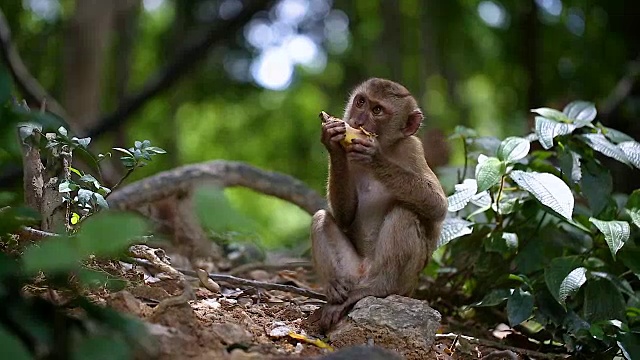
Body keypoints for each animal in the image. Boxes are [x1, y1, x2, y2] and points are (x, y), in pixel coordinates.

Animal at [308, 78, 444, 332]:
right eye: (361, 102)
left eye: (377, 110)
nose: (358, 121)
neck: (389, 147)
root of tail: (365, 274)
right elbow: (344, 216)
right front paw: (332, 143)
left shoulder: (413, 149)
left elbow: (438, 205)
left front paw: (374, 156)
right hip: (352, 272)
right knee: (321, 218)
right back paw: (335, 289)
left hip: (405, 285)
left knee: (404, 212)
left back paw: (380, 287)